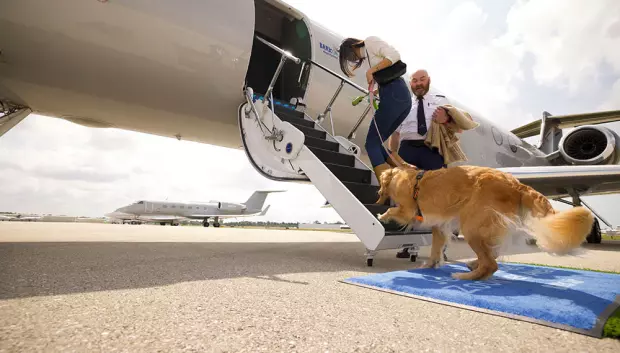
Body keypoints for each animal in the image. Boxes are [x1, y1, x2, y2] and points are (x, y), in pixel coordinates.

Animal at [376, 164, 592, 280]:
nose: (378, 193)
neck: (404, 176)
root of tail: (517, 184)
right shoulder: (440, 226)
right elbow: (436, 248)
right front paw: (430, 264)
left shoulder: (408, 210)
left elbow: (393, 210)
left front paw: (382, 216)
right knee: (492, 255)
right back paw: (473, 265)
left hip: (472, 226)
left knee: (491, 264)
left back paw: (465, 276)